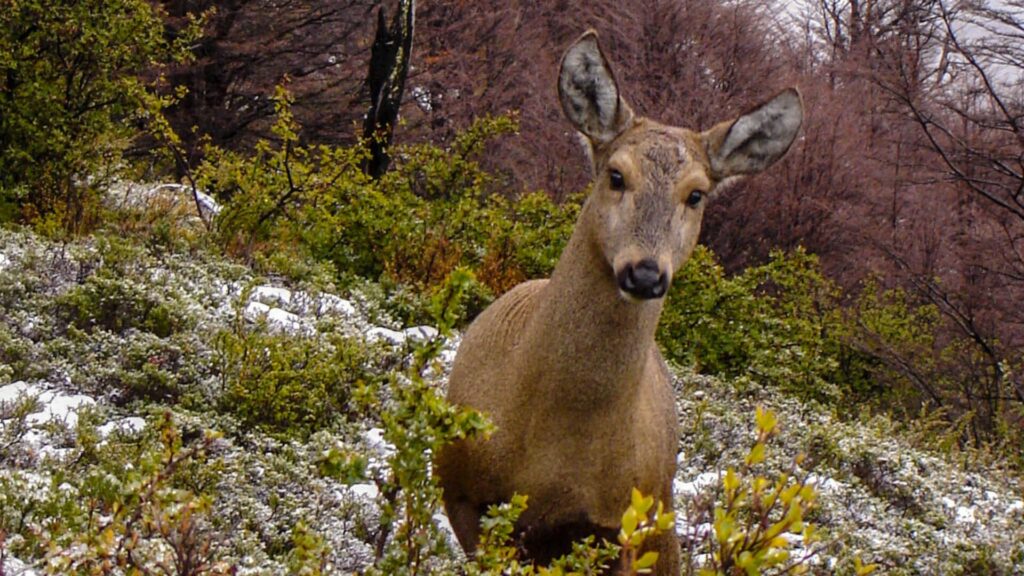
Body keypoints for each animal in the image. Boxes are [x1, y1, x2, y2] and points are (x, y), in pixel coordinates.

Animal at [436, 32, 802, 573]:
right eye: (615, 175)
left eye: (696, 194)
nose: (645, 273)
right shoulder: (461, 492)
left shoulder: (620, 525)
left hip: (660, 517)